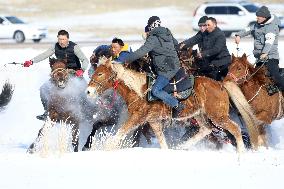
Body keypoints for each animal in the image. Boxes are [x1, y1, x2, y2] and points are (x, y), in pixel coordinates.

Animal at [86, 58, 248, 154]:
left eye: (100, 74)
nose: (88, 91)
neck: (139, 91)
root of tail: (221, 85)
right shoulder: (153, 121)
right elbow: (161, 140)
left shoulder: (138, 117)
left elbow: (121, 132)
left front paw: (107, 147)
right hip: (199, 115)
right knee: (206, 129)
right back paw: (182, 146)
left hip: (218, 116)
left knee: (235, 129)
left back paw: (240, 154)